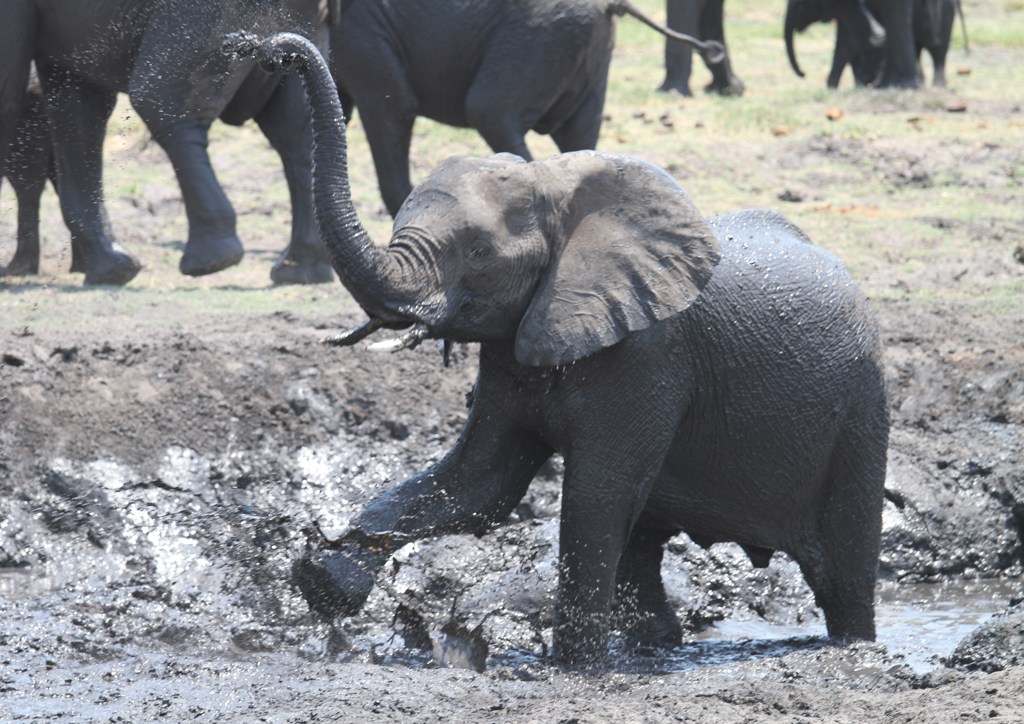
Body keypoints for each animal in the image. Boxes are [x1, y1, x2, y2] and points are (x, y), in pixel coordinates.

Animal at [0, 0, 339, 286]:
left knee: (158, 100)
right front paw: (111, 270)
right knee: (296, 132)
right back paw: (299, 271)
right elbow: (78, 104)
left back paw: (212, 260)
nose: (242, 43)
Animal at [226, 32, 888, 667]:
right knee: (643, 546)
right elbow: (477, 486)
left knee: (844, 573)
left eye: (479, 254)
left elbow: (594, 498)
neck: (551, 187)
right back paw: (653, 650)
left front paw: (570, 671)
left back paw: (851, 645)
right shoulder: (513, 347)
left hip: (861, 410)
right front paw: (325, 578)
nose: (266, 49)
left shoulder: (649, 355)